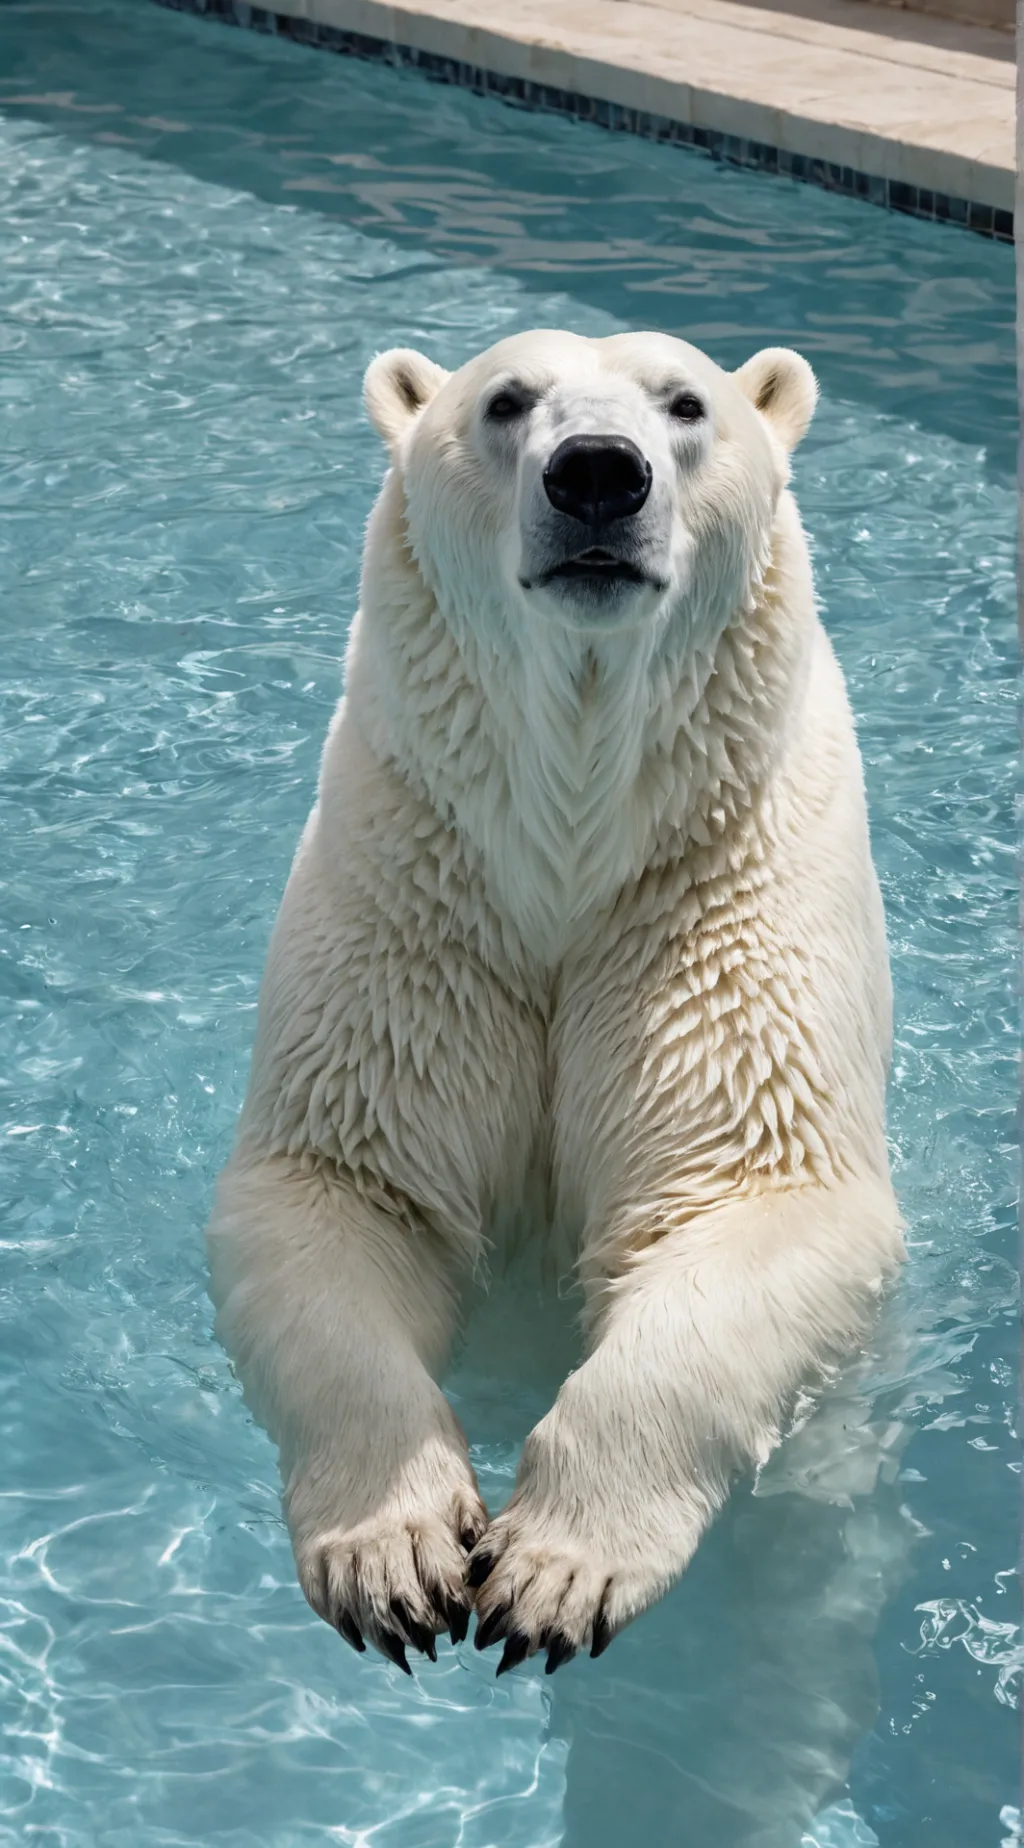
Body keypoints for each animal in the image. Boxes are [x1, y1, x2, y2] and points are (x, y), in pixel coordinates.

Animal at [205, 328, 904, 1680]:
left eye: (686, 403)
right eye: (505, 400)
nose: (596, 476)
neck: (574, 852)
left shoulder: (720, 894)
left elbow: (759, 1198)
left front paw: (557, 1568)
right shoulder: (420, 886)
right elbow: (339, 1187)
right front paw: (393, 1553)